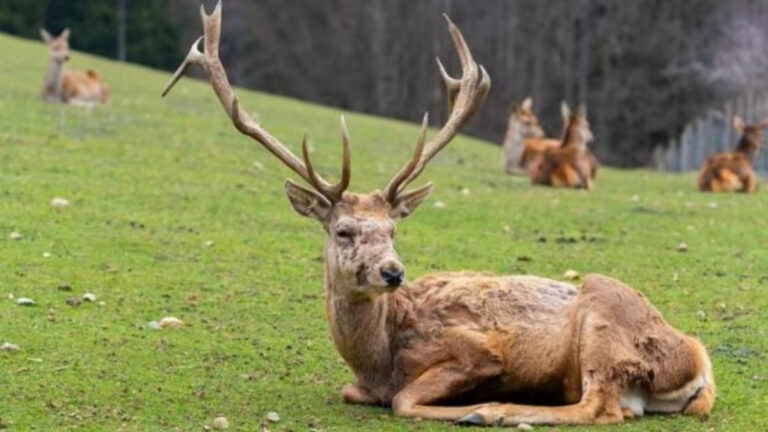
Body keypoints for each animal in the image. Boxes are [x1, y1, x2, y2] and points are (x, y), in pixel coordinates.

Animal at [162, 1, 715, 426]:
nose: (392, 271)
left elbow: (405, 399)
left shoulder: (477, 350)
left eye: (393, 229)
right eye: (344, 231)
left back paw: (492, 411)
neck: (377, 357)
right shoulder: (360, 383)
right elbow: (354, 391)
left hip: (604, 320)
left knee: (600, 407)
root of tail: (700, 363)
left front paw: (471, 404)